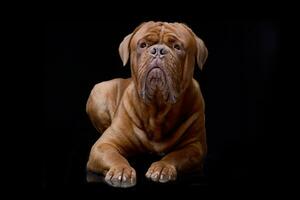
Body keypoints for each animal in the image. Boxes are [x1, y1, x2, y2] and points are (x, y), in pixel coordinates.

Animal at [86, 20, 207, 188]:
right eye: (143, 45)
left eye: (177, 47)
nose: (158, 50)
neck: (157, 108)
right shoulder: (103, 145)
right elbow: (114, 156)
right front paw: (121, 170)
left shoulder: (195, 147)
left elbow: (176, 155)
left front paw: (162, 167)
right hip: (98, 92)